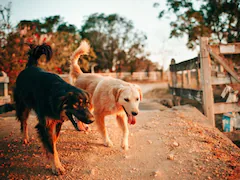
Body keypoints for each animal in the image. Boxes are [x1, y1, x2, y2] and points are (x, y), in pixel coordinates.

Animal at [13, 43, 94, 174]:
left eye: (87, 104)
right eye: (77, 104)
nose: (92, 120)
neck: (56, 96)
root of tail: (30, 67)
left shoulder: (57, 122)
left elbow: (53, 141)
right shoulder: (45, 124)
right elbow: (51, 147)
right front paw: (57, 167)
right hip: (23, 106)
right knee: (23, 122)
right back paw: (25, 138)